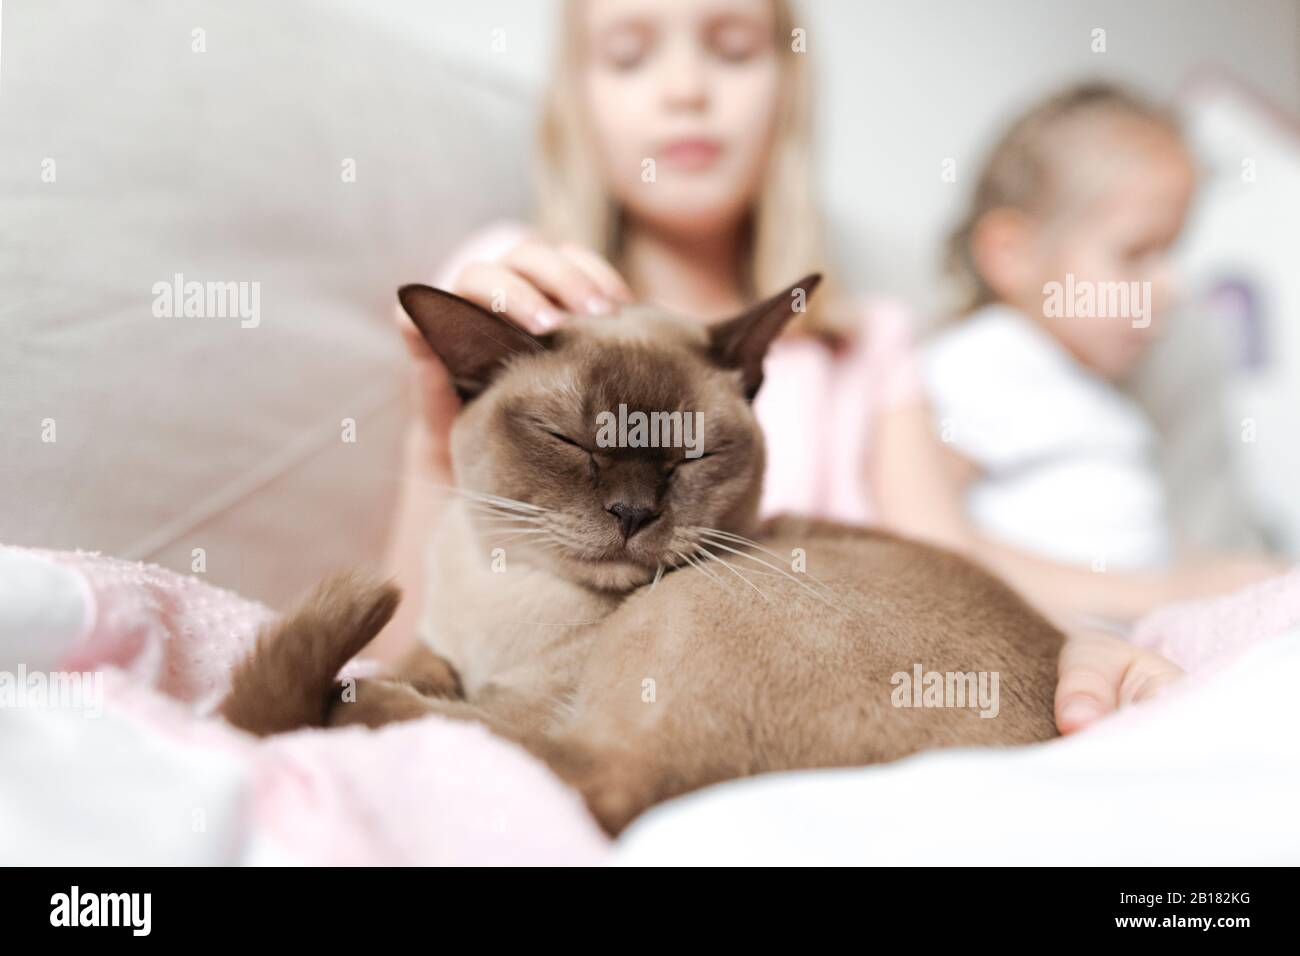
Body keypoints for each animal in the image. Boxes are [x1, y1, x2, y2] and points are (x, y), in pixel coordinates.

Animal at [223, 274, 1060, 837]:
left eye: (692, 454)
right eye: (569, 441)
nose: (632, 513)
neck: (505, 593)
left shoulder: (532, 698)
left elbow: (477, 714)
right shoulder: (440, 648)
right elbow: (424, 665)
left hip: (691, 609)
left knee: (591, 779)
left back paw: (347, 706)